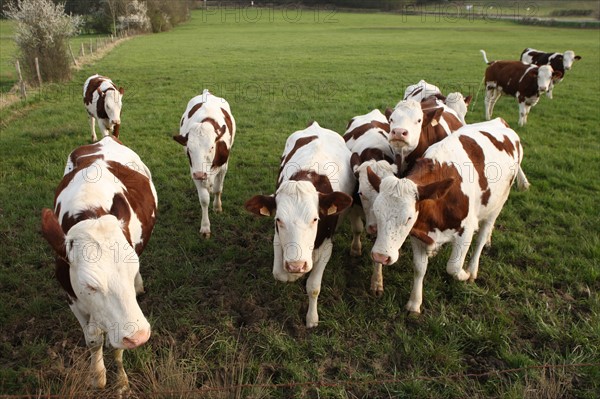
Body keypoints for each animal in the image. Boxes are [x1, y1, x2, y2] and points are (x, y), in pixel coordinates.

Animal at [40, 137, 157, 394]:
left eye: (132, 268)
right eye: (89, 285)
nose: (140, 336)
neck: (90, 211)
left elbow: (116, 343)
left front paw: (121, 381)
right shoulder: (71, 296)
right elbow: (94, 339)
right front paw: (98, 376)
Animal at [172, 90, 236, 239]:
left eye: (211, 147)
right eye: (189, 149)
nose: (201, 174)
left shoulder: (223, 167)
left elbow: (218, 189)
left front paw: (217, 207)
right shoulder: (194, 171)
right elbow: (204, 199)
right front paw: (205, 227)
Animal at [245, 122, 354, 328]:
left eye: (315, 219)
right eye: (278, 219)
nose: (296, 265)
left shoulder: (327, 245)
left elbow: (313, 287)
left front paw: (312, 318)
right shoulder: (278, 239)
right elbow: (280, 274)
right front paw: (295, 274)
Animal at [342, 109, 394, 296]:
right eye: (361, 193)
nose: (375, 227)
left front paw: (377, 282)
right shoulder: (353, 205)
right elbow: (357, 229)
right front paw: (355, 249)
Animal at [370, 119, 528, 316]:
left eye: (408, 218)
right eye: (376, 212)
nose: (380, 256)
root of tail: (500, 121)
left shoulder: (466, 230)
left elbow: (453, 266)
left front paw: (464, 274)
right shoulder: (418, 234)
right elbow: (419, 268)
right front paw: (414, 303)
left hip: (498, 203)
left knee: (482, 237)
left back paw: (472, 270)